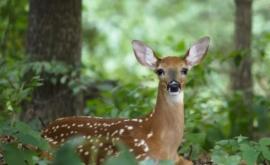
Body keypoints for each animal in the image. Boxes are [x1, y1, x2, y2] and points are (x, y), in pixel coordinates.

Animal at [41, 36, 211, 164]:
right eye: (160, 71)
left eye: (185, 70)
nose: (174, 86)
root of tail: (44, 130)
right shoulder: (130, 157)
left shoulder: (179, 159)